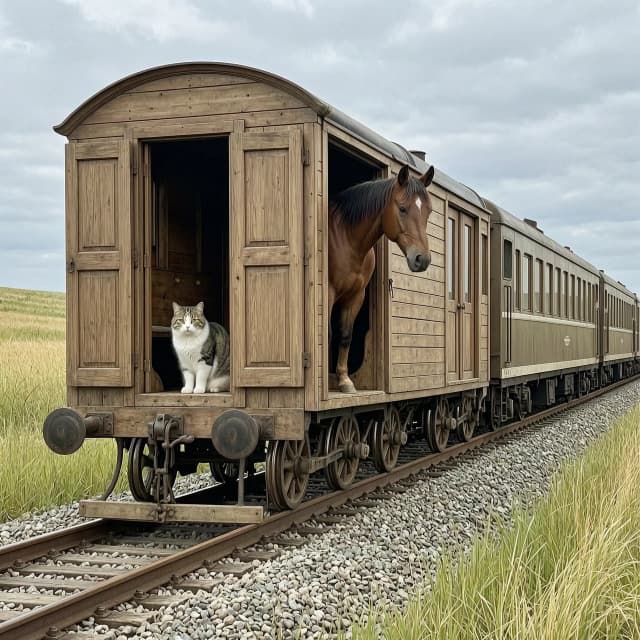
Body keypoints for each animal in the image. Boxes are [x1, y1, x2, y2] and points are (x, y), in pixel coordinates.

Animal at [328, 164, 435, 393]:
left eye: (429, 211)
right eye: (402, 208)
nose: (422, 259)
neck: (346, 237)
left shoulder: (356, 296)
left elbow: (345, 335)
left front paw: (344, 380)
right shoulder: (328, 292)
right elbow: (328, 334)